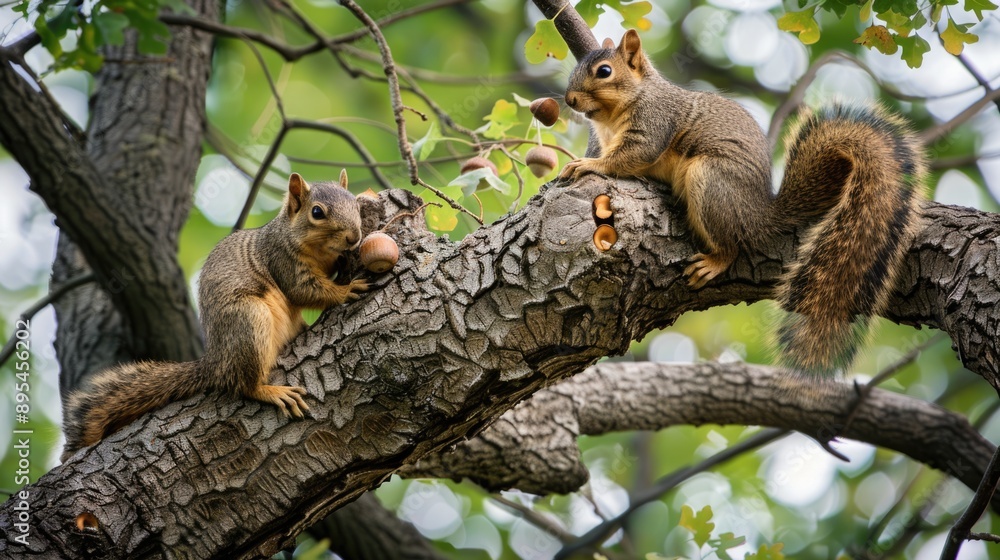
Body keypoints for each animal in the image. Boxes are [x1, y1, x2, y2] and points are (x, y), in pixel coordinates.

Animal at [61, 171, 368, 461]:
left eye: (354, 203)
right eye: (317, 212)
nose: (354, 236)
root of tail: (217, 361)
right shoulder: (283, 260)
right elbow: (304, 291)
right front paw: (346, 289)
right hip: (249, 321)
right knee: (244, 384)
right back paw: (268, 391)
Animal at [562, 29, 925, 375]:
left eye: (604, 71)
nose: (569, 99)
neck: (614, 114)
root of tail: (761, 215)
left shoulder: (653, 122)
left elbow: (631, 156)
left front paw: (589, 165)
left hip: (710, 183)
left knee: (732, 245)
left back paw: (714, 261)